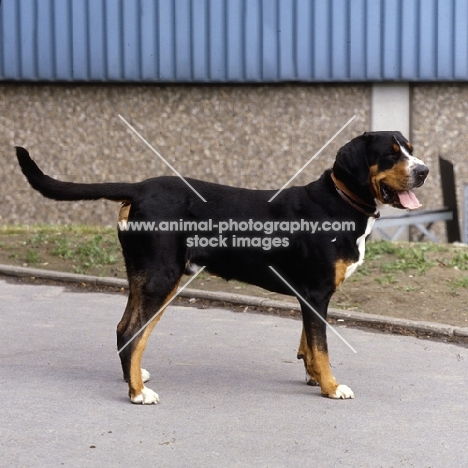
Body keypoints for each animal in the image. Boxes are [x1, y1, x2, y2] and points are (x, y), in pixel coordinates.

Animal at [16, 131, 428, 402]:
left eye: (410, 150)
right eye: (391, 154)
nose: (423, 171)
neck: (339, 202)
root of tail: (139, 187)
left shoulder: (308, 297)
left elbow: (308, 344)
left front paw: (313, 376)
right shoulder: (316, 293)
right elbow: (322, 347)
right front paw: (330, 386)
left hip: (143, 275)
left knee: (123, 329)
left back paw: (133, 378)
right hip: (162, 278)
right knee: (133, 331)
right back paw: (138, 393)